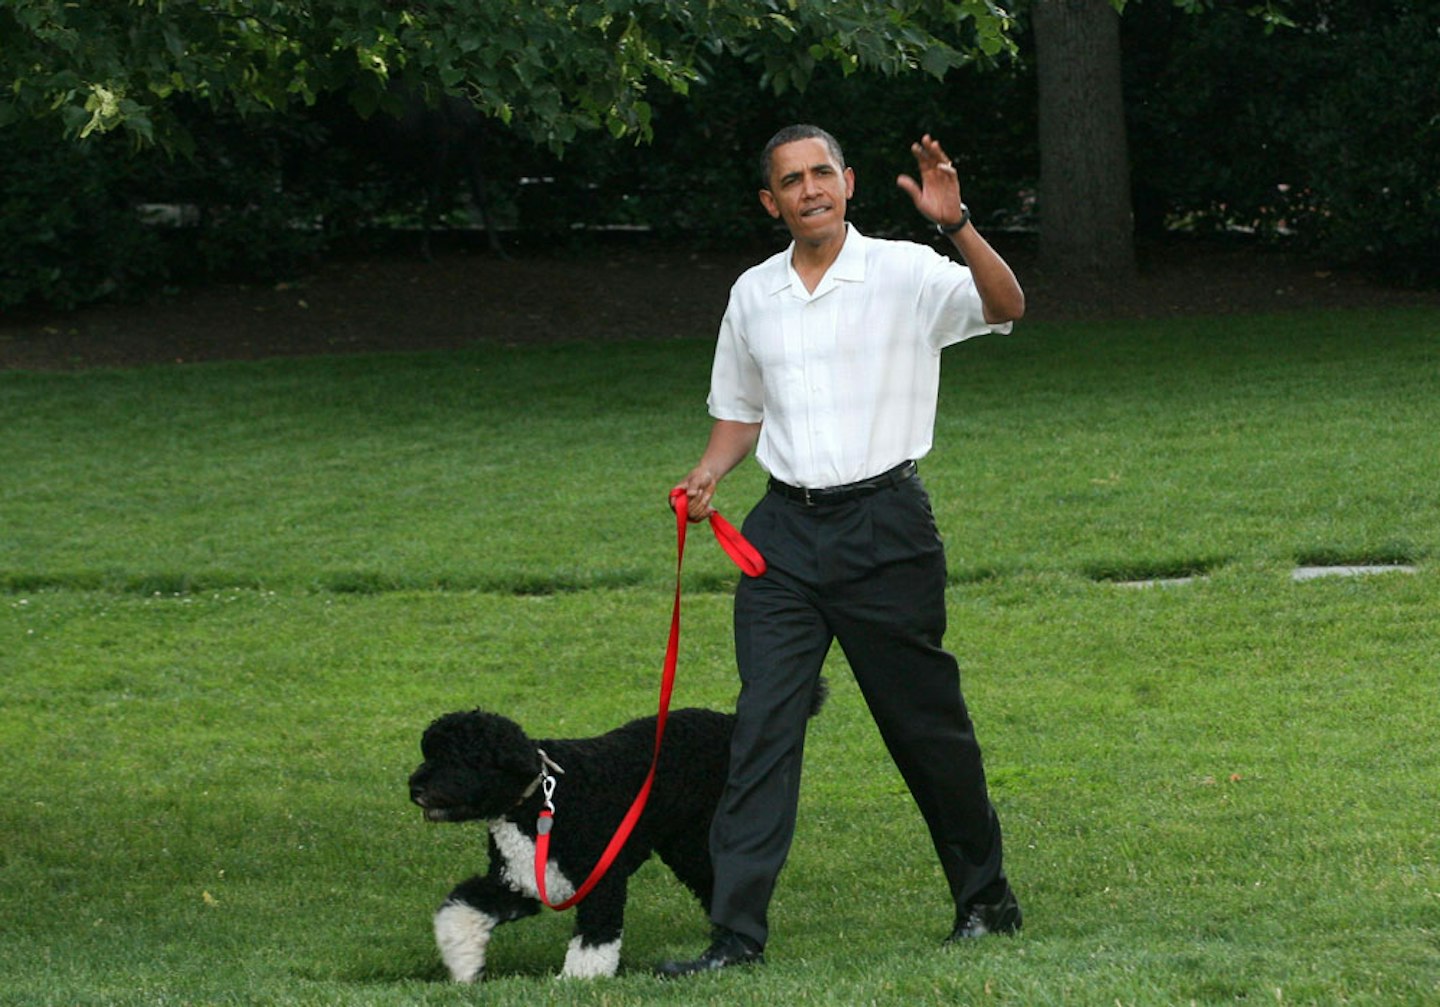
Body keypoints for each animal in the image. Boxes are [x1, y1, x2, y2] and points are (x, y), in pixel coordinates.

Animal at [411, 688, 829, 979]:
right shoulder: (518, 882)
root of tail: (729, 722)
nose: (414, 786)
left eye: (456, 757)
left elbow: (595, 938)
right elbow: (461, 908)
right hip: (684, 845)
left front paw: (578, 981)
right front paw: (463, 964)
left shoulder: (601, 879)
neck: (540, 801)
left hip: (704, 834)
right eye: (428, 752)